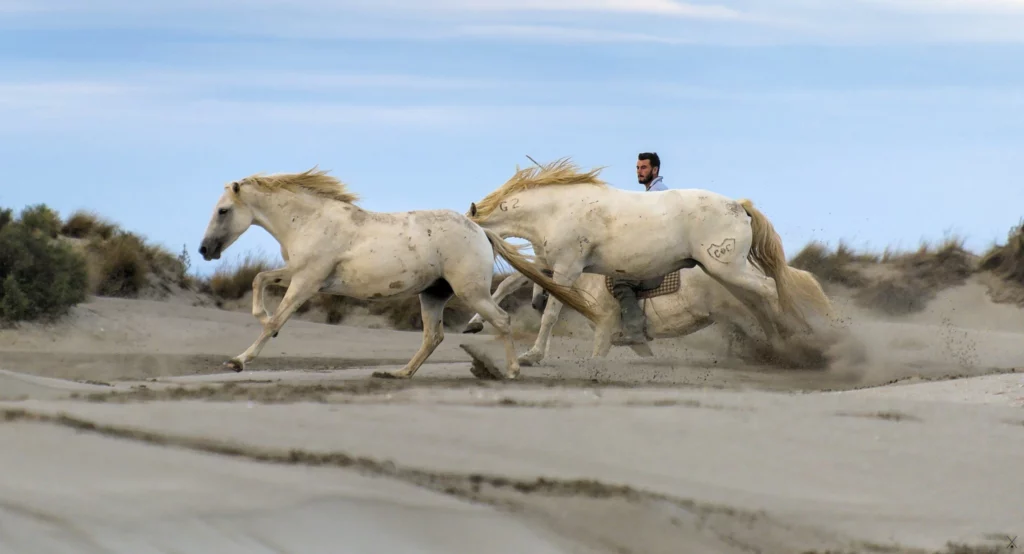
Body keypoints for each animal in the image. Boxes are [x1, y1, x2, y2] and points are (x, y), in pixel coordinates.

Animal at [197, 167, 598, 380]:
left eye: (222, 211)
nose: (204, 251)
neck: (312, 220)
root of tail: (478, 230)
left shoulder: (306, 281)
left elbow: (274, 317)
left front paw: (239, 360)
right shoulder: (300, 274)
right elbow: (259, 280)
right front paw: (259, 324)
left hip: (470, 292)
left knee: (500, 320)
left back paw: (512, 370)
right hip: (433, 294)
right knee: (433, 336)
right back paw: (401, 373)